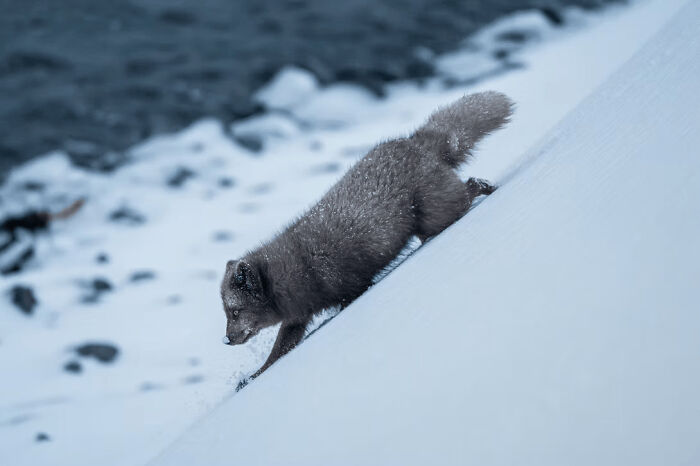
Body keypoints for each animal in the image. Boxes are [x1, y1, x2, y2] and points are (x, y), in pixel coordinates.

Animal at [221, 91, 513, 380]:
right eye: (226, 313)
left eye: (235, 311)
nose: (226, 340)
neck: (296, 267)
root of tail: (413, 142)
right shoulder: (297, 317)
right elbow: (280, 349)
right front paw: (251, 378)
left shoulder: (349, 288)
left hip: (437, 212)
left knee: (472, 185)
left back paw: (491, 189)